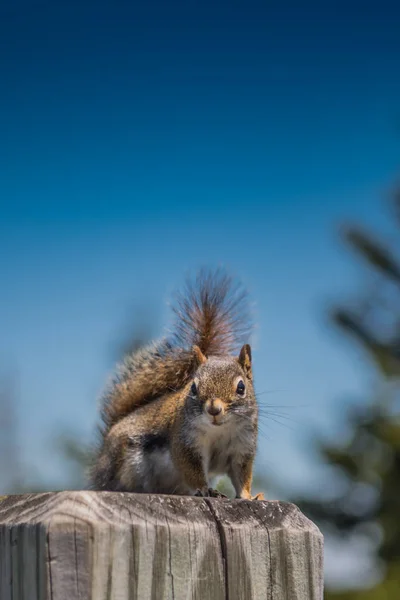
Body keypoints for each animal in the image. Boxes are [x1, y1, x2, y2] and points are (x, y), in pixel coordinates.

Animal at [91, 270, 266, 500]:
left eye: (241, 387)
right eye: (193, 387)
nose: (214, 409)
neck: (219, 431)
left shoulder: (242, 448)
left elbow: (242, 476)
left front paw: (248, 496)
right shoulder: (184, 442)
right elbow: (191, 470)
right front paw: (205, 489)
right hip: (124, 463)